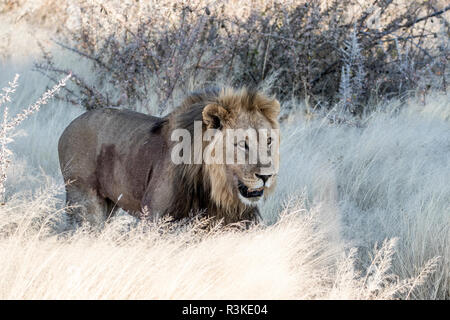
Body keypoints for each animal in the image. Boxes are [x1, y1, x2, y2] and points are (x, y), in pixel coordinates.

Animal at [58, 86, 280, 226]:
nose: (267, 176)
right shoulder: (155, 216)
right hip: (85, 200)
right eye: (242, 144)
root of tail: (68, 127)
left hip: (109, 204)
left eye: (269, 141)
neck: (216, 188)